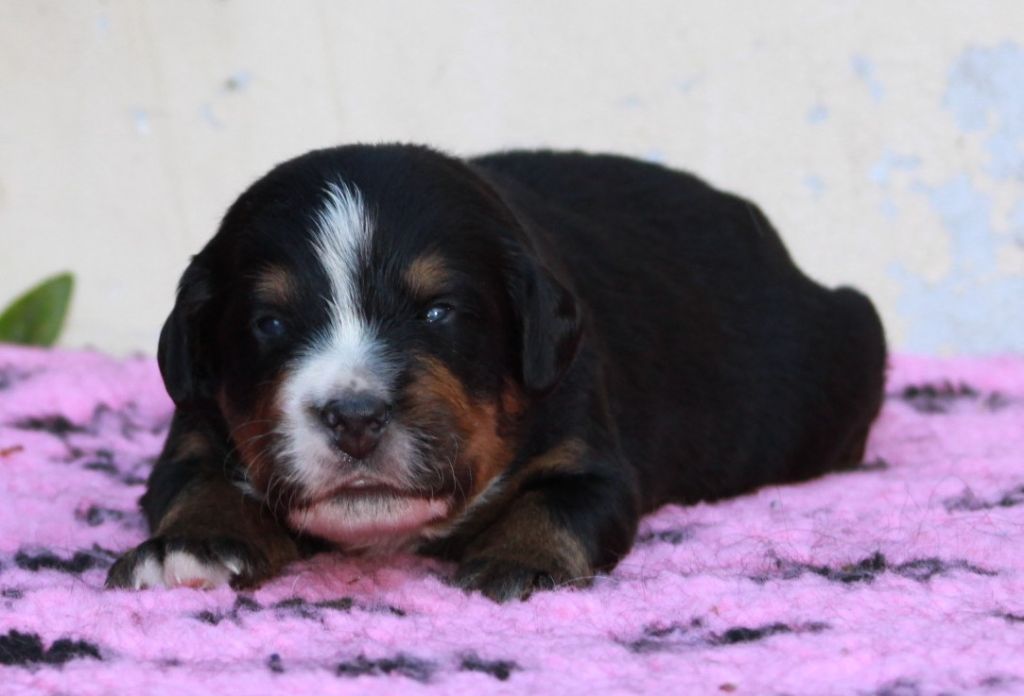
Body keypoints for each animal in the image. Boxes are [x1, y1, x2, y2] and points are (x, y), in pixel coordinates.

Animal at [105, 144, 888, 601]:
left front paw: (521, 560)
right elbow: (198, 483)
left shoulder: (586, 443)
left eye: (440, 312)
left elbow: (559, 503)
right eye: (269, 324)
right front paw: (190, 548)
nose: (354, 418)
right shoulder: (196, 429)